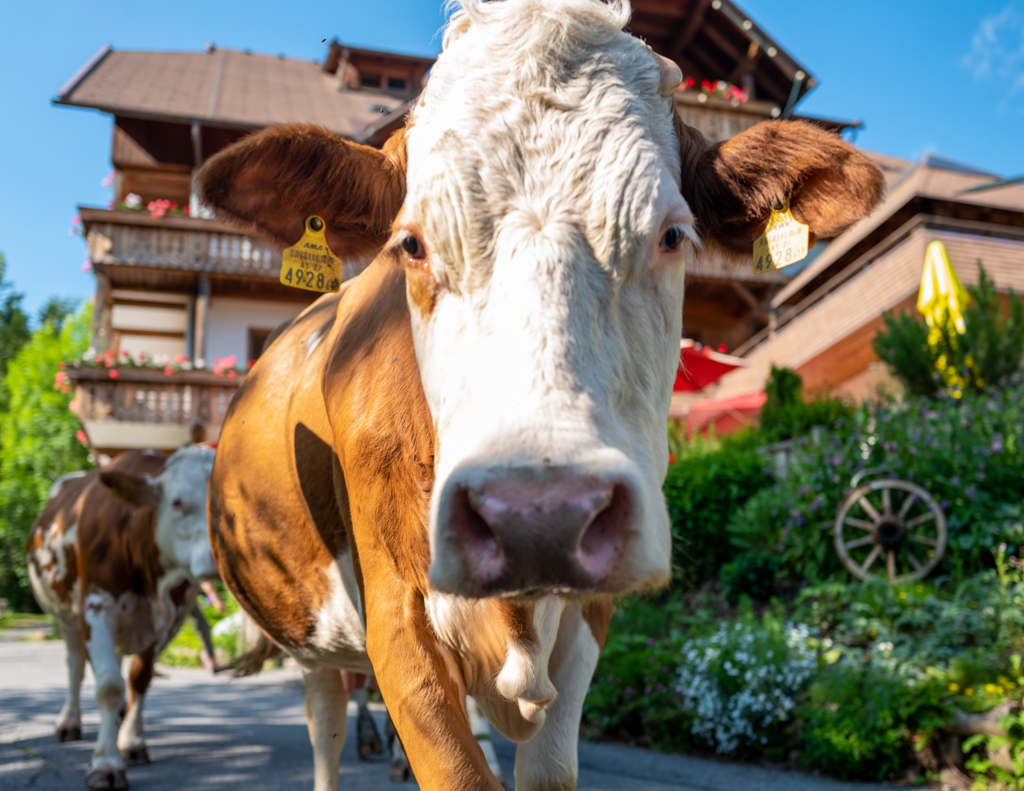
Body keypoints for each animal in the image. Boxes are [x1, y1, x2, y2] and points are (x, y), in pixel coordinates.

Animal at [27, 448, 217, 786]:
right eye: (177, 502)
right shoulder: (97, 607)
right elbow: (108, 686)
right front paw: (105, 763)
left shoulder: (169, 619)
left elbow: (140, 677)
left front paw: (131, 742)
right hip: (66, 618)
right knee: (76, 666)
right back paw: (68, 722)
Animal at [195, 1, 884, 790]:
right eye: (412, 244)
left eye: (673, 234)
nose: (539, 516)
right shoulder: (397, 620)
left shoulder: (591, 613)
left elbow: (543, 770)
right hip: (309, 632)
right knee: (325, 727)